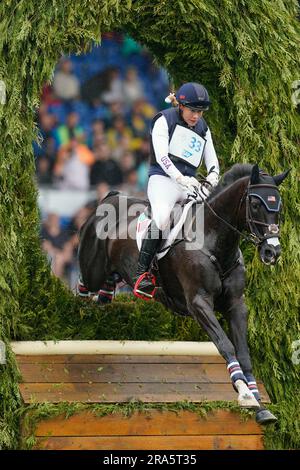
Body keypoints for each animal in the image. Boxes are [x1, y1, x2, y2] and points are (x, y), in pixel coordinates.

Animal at [78, 163, 290, 424]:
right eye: (255, 204)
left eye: (278, 204)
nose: (272, 252)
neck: (214, 239)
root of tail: (110, 198)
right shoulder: (198, 303)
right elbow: (225, 345)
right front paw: (243, 392)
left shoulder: (236, 305)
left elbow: (243, 352)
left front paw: (259, 405)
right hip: (93, 270)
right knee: (84, 285)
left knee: (105, 293)